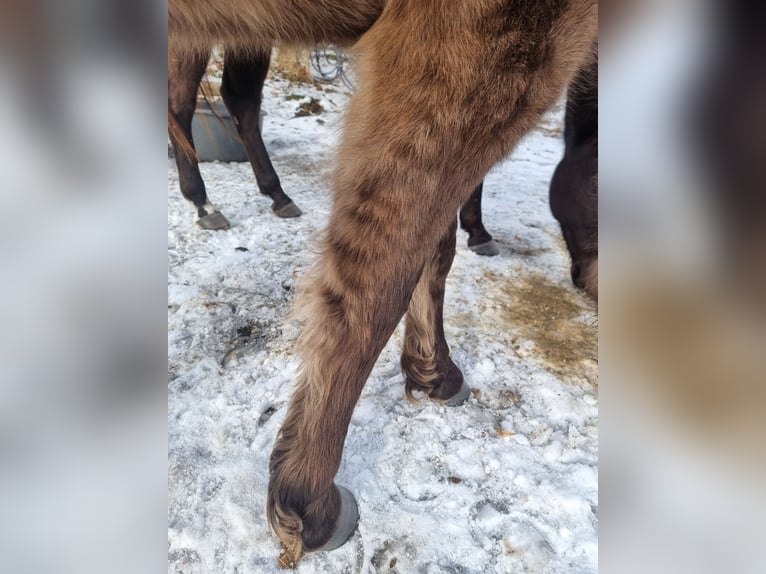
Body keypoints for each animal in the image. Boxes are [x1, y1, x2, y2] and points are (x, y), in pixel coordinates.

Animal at [168, 0, 598, 565]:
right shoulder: (474, 56)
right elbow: (384, 270)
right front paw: (306, 502)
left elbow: (435, 251)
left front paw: (433, 371)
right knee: (186, 106)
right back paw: (205, 202)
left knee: (230, 101)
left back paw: (264, 195)